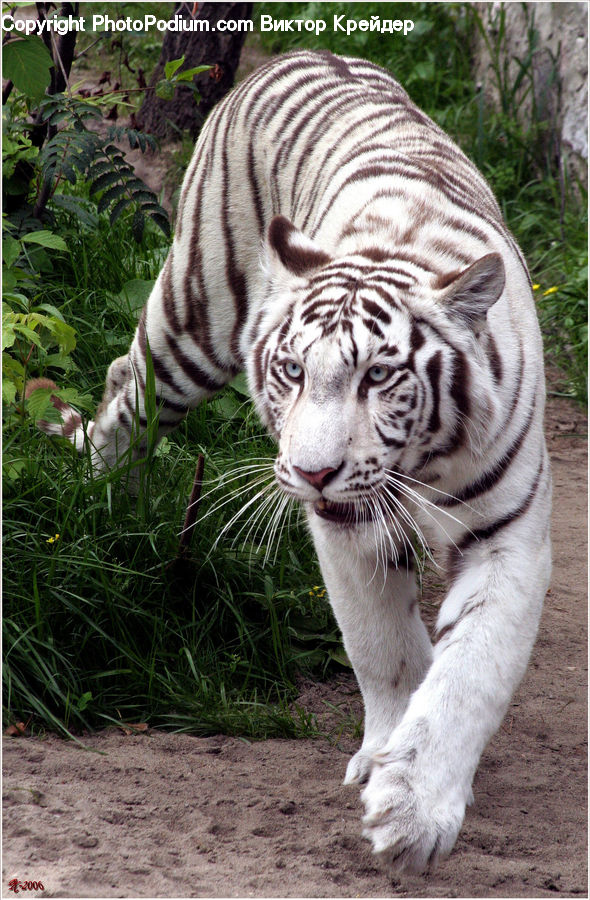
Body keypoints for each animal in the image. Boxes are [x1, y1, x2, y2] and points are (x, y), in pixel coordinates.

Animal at [35, 50, 552, 872]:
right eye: (292, 371)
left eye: (379, 375)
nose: (311, 475)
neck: (420, 462)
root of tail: (302, 53)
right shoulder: (348, 529)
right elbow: (383, 648)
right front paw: (384, 763)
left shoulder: (510, 537)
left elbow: (471, 672)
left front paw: (415, 811)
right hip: (194, 319)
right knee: (128, 386)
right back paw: (102, 501)